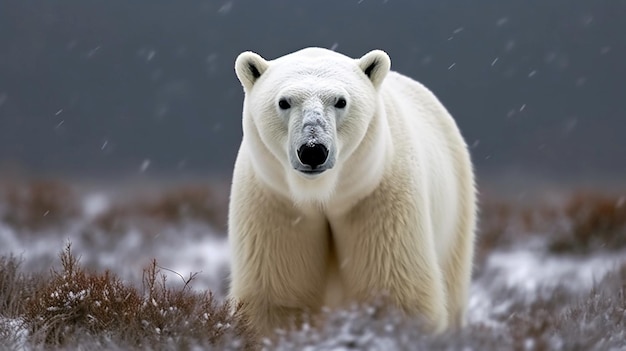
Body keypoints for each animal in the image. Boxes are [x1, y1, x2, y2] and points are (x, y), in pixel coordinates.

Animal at [227, 47, 476, 338]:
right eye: (284, 102)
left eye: (341, 101)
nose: (313, 150)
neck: (322, 193)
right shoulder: (276, 204)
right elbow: (277, 294)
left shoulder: (378, 199)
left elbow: (396, 291)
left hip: (457, 208)